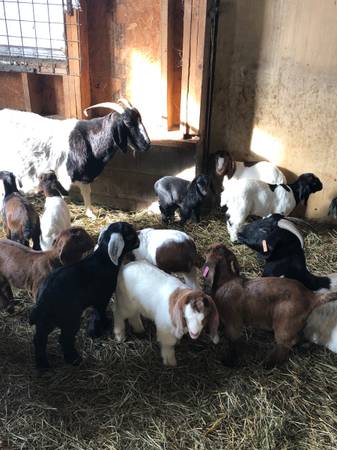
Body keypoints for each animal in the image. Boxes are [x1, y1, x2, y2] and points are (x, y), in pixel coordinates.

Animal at [0, 98, 150, 218]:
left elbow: (86, 193)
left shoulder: (85, 176)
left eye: (140, 119)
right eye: (128, 123)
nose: (147, 145)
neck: (89, 139)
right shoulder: (61, 179)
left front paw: (90, 214)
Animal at [28, 221, 138, 370]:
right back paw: (73, 359)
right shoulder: (102, 297)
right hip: (70, 317)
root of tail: (43, 299)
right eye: (130, 234)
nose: (138, 241)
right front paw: (102, 326)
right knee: (64, 338)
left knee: (39, 339)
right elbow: (99, 313)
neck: (103, 259)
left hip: (46, 319)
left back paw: (43, 365)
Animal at [201, 244, 336, 368]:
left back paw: (269, 363)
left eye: (209, 250)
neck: (226, 281)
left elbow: (233, 342)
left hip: (284, 325)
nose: (206, 249)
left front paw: (229, 361)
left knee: (286, 345)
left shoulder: (233, 323)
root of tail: (311, 297)